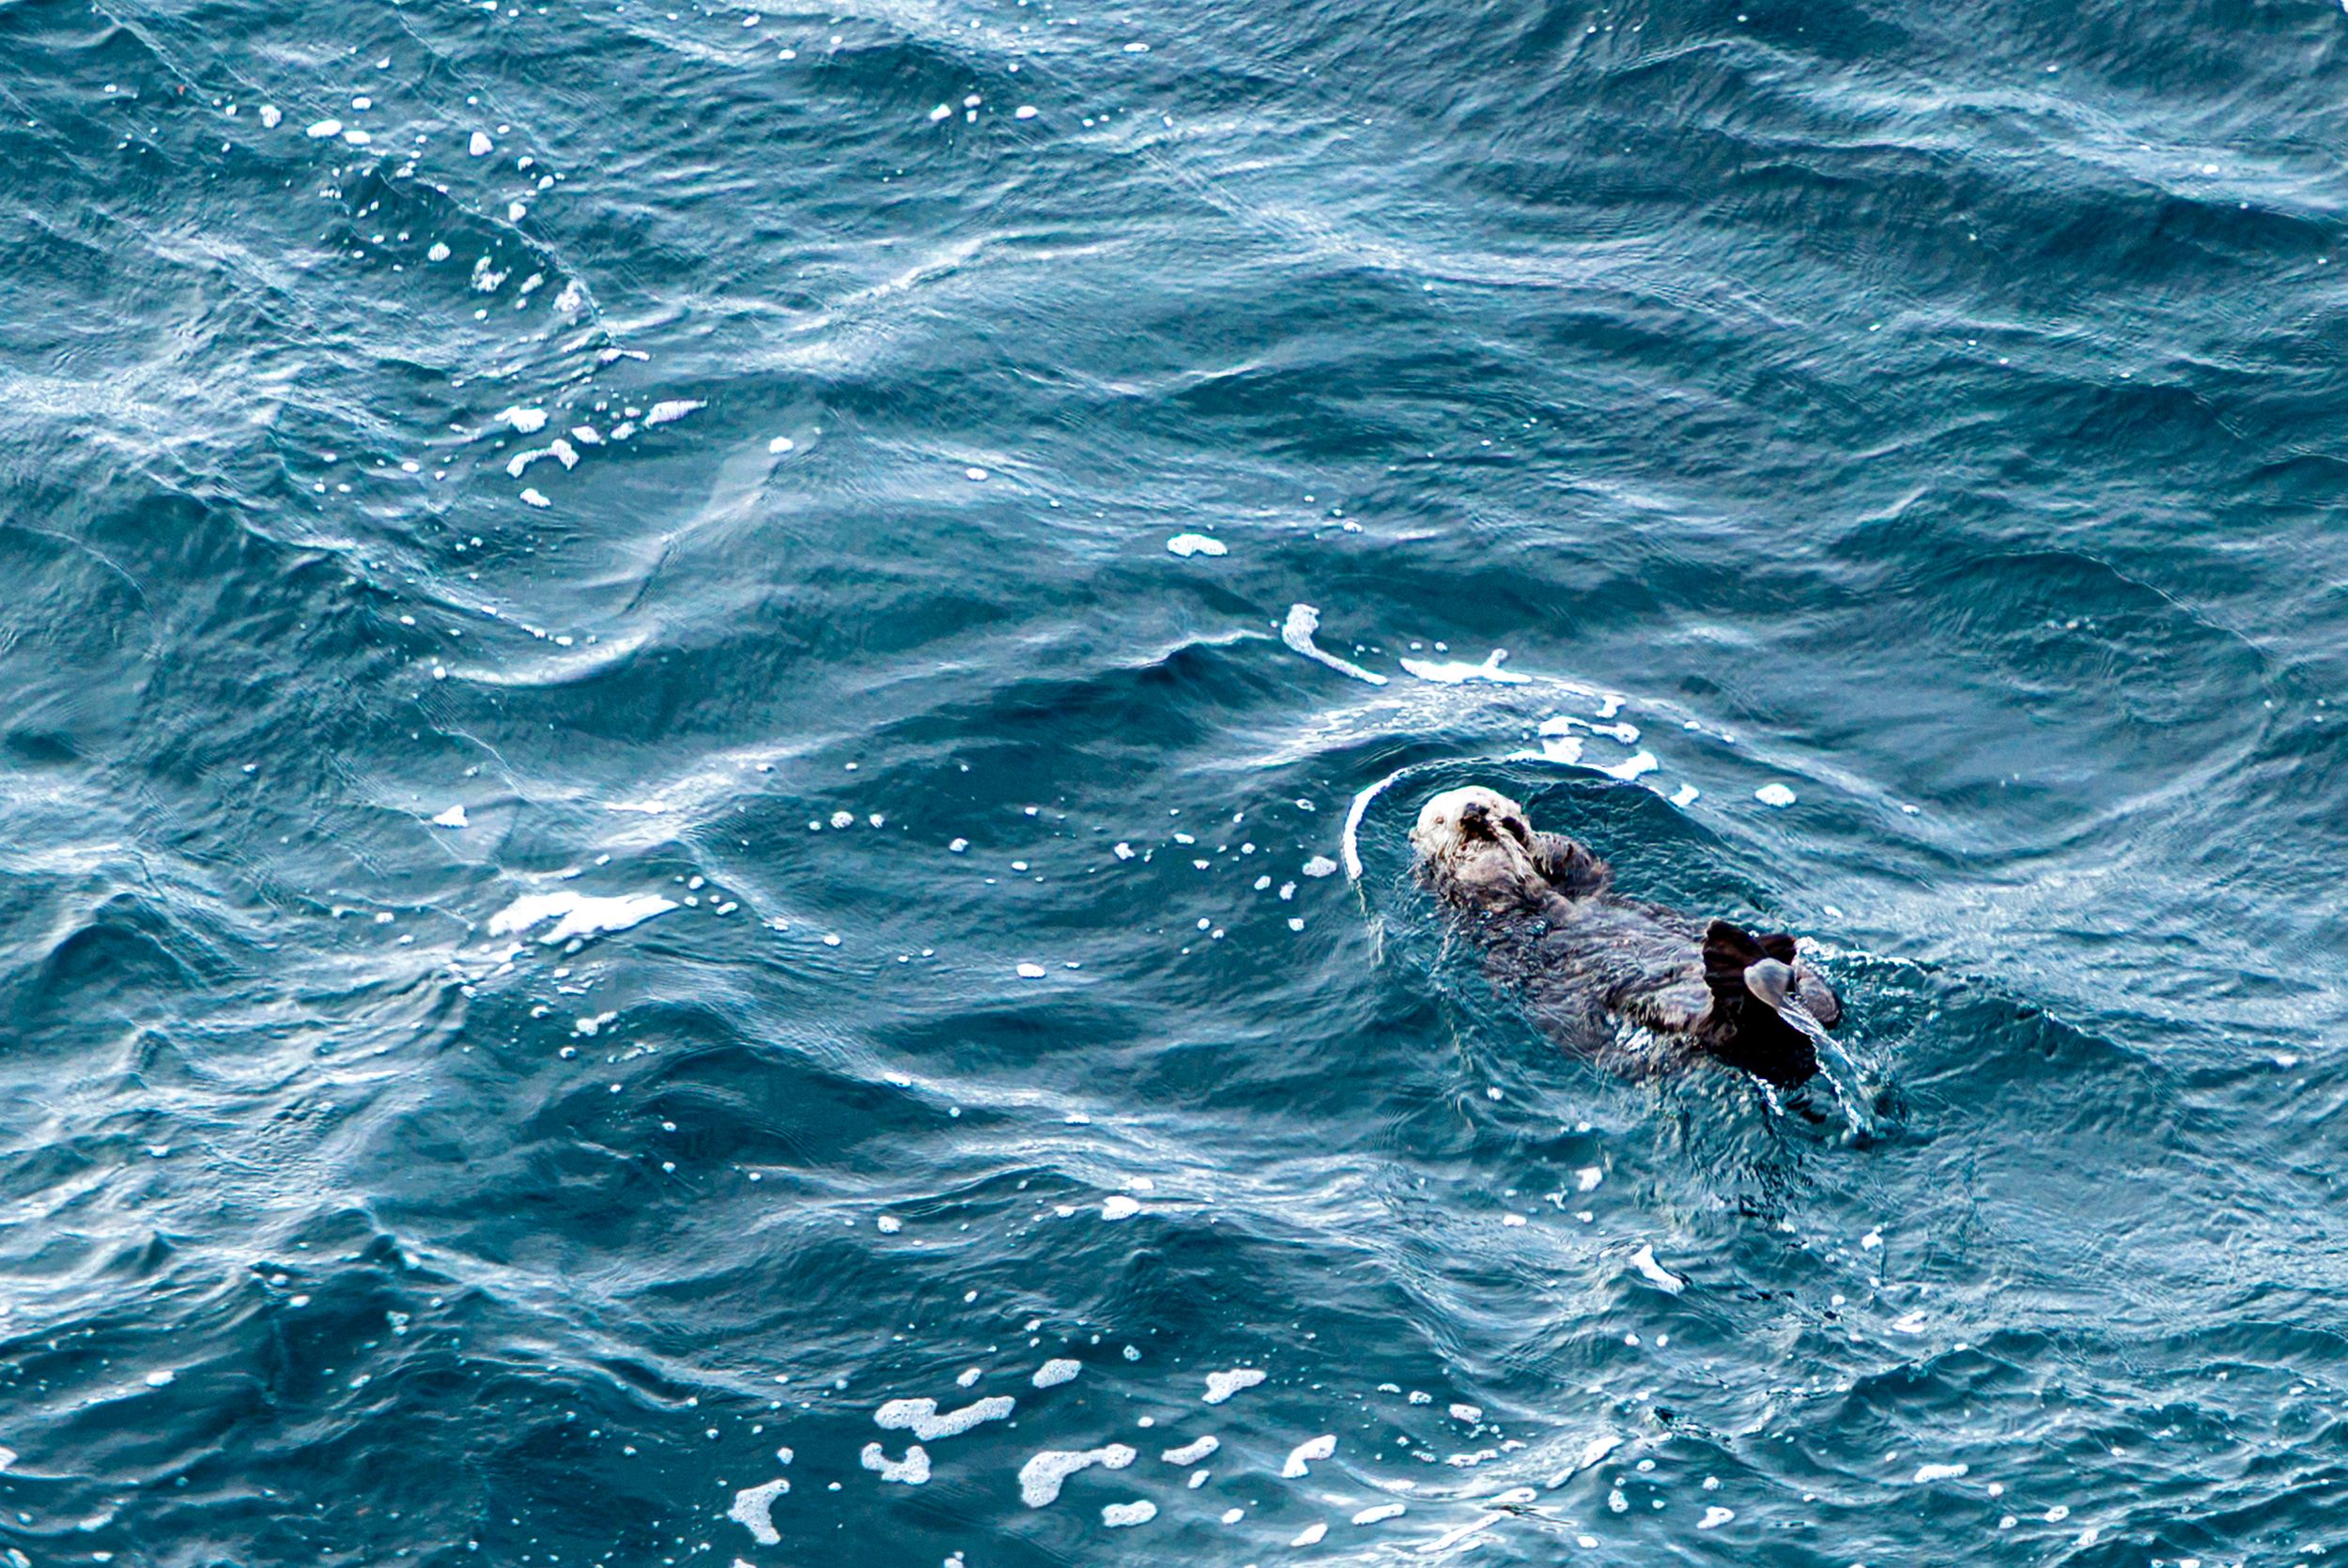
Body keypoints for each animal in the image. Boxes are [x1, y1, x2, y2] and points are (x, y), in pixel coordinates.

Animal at [1409, 785, 1842, 1088]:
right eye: (1440, 820)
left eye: (1491, 800)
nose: (1474, 812)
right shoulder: (1467, 894)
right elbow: (1482, 876)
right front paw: (1483, 849)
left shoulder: (1581, 876)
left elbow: (1578, 859)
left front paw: (1522, 834)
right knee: (1723, 1028)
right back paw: (1737, 968)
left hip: (1807, 991)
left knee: (1823, 1004)